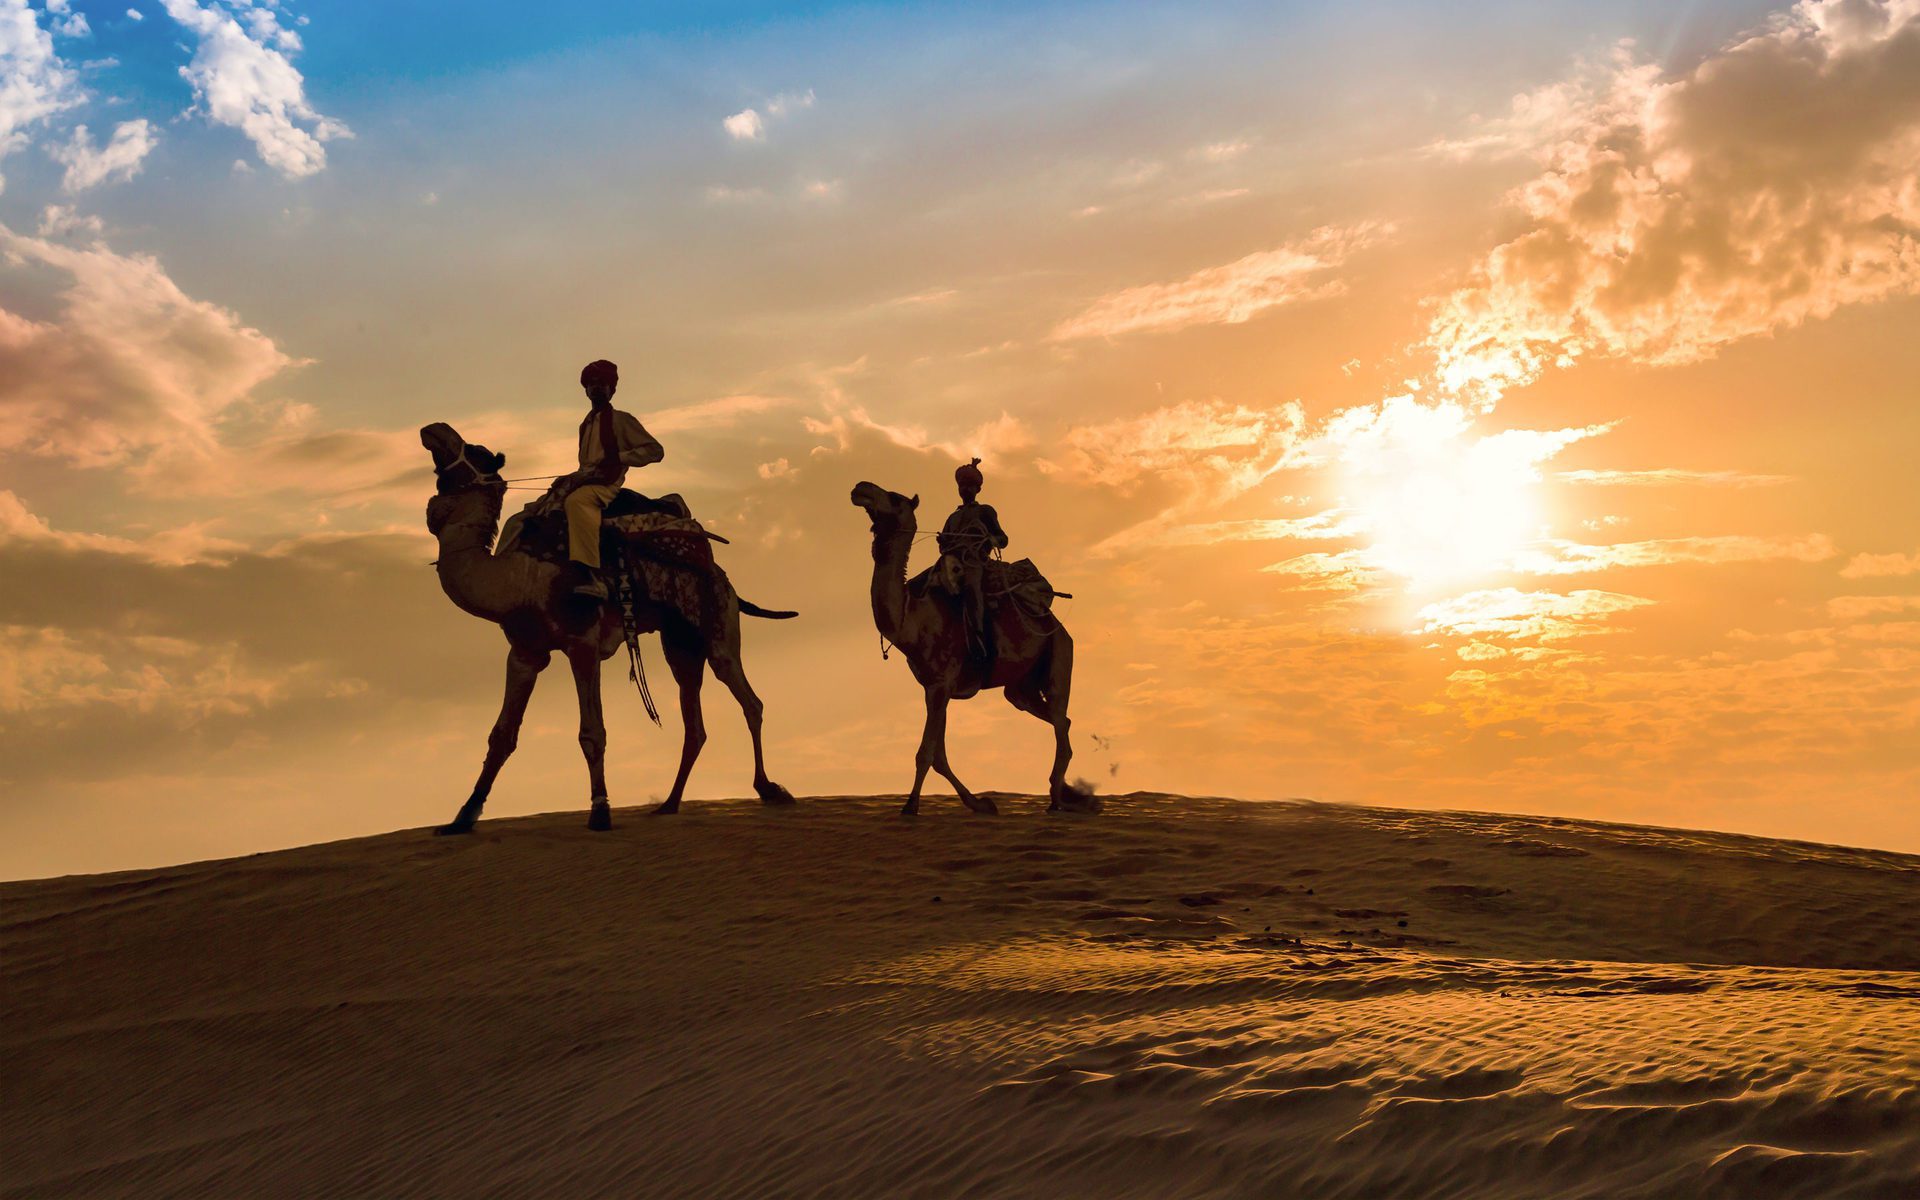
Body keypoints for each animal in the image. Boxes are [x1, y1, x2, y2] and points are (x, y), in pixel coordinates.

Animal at [424, 424, 791, 833]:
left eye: (476, 451)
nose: (433, 430)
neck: (520, 578)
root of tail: (719, 569)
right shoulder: (524, 651)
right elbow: (501, 735)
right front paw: (462, 817)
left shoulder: (581, 640)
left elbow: (592, 733)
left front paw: (600, 811)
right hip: (679, 641)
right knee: (694, 719)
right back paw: (669, 803)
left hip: (717, 619)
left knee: (746, 695)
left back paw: (769, 788)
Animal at [852, 478, 1105, 814]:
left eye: (893, 497)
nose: (861, 487)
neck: (912, 619)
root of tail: (1057, 624)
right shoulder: (933, 687)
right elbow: (939, 756)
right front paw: (980, 803)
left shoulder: (941, 684)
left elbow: (925, 753)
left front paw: (910, 806)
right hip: (1020, 689)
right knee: (1059, 718)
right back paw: (1065, 795)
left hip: (1059, 656)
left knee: (1060, 716)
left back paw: (1059, 799)